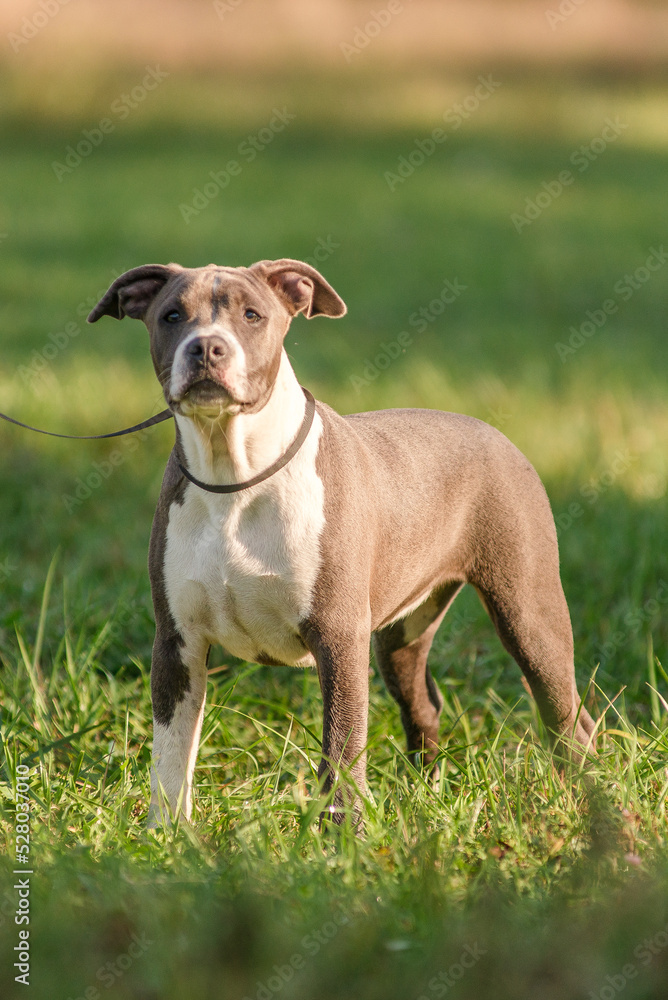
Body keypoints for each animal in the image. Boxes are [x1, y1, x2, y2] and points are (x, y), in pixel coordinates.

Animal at [87, 260, 596, 828]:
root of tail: (495, 433)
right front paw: (166, 832)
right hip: (402, 635)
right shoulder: (177, 641)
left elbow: (342, 740)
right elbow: (172, 748)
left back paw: (582, 798)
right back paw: (426, 790)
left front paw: (343, 831)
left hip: (528, 612)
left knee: (567, 713)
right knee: (423, 702)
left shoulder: (337, 634)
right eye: (171, 316)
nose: (207, 348)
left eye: (252, 315)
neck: (235, 473)